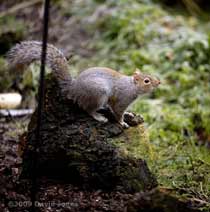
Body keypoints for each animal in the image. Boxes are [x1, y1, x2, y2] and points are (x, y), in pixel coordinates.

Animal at [7, 41, 160, 127]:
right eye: (146, 81)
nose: (158, 82)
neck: (132, 86)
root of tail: (73, 89)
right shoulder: (122, 98)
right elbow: (117, 111)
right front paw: (122, 122)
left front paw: (129, 114)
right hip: (98, 94)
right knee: (87, 109)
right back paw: (99, 117)